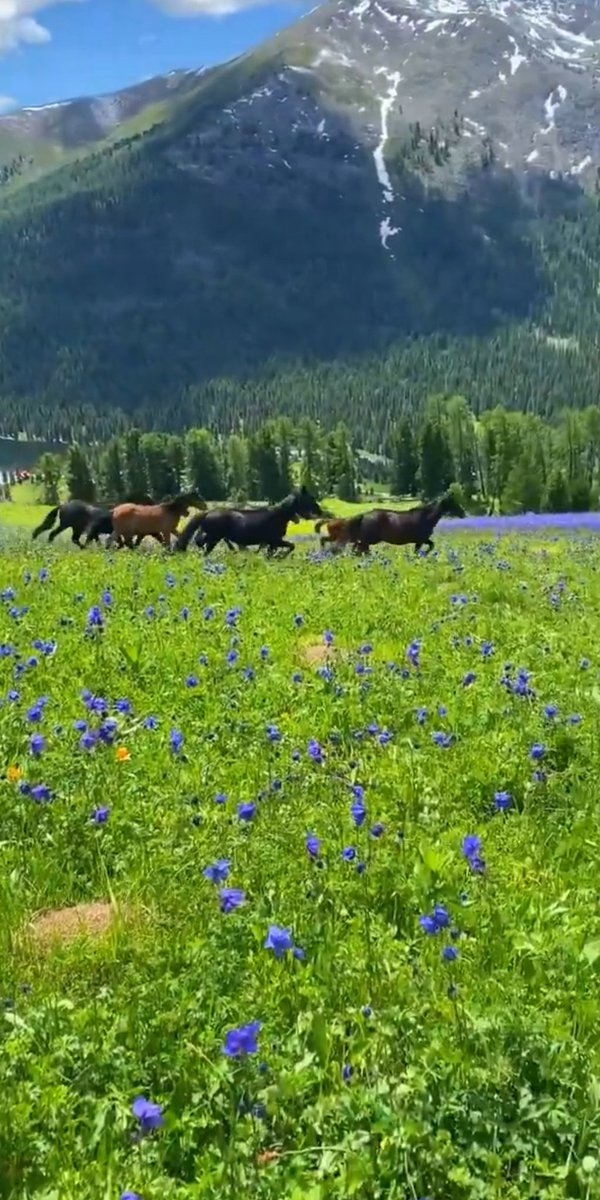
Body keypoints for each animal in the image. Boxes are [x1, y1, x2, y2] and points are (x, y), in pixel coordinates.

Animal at [175, 487, 323, 556]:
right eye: (311, 498)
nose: (320, 510)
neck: (280, 515)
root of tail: (208, 512)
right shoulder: (274, 541)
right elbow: (291, 546)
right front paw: (280, 556)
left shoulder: (271, 543)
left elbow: (284, 549)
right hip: (214, 537)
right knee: (199, 541)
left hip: (214, 538)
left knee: (201, 544)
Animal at [318, 493, 466, 554]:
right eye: (453, 502)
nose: (463, 513)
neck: (425, 518)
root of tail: (365, 515)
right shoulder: (420, 540)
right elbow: (426, 548)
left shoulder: (422, 540)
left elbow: (429, 546)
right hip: (370, 539)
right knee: (360, 548)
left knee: (359, 548)